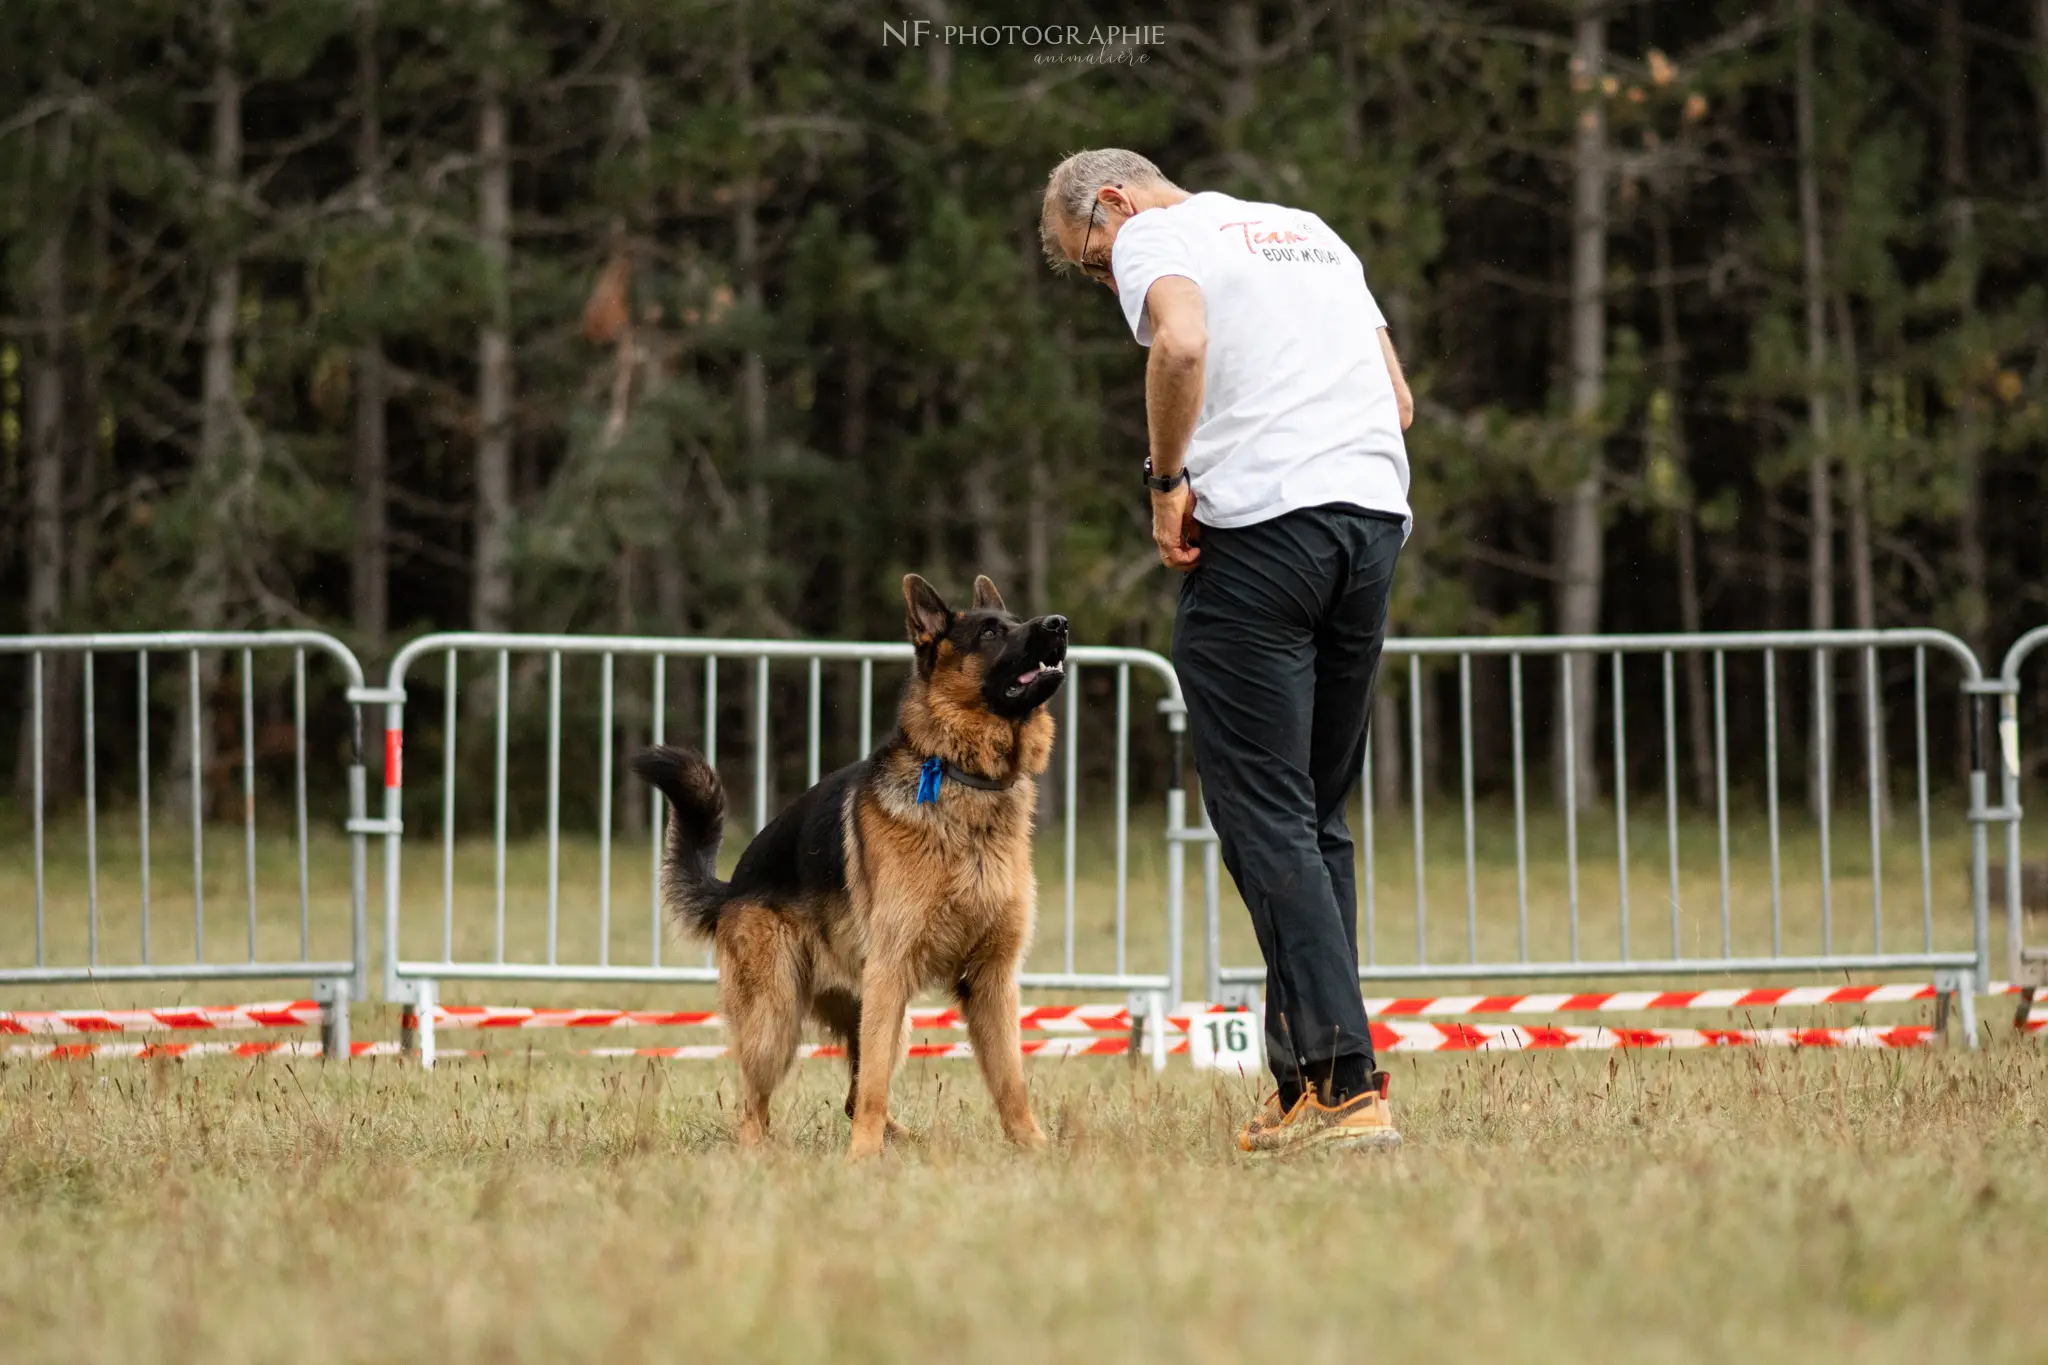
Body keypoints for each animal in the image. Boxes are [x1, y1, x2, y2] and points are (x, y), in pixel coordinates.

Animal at [626, 577, 1073, 1162]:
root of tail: (731, 889)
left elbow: (1011, 1081)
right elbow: (877, 1085)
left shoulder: (991, 982)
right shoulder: (891, 973)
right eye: (992, 632)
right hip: (778, 1020)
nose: (1059, 624)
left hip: (878, 1015)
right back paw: (763, 1154)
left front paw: (1035, 1148)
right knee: (756, 1109)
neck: (962, 774)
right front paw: (861, 1159)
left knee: (849, 1095)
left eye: (1018, 620)